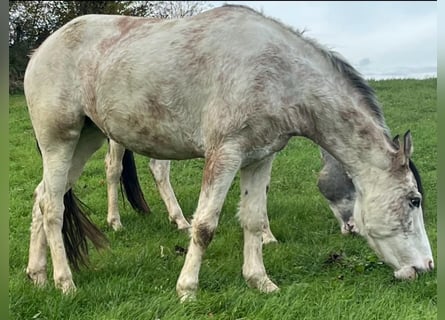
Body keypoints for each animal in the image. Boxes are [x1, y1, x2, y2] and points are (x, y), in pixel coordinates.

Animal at [23, 4, 430, 300]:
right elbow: (204, 225)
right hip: (60, 141)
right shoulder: (225, 154)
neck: (276, 73)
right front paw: (187, 290)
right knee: (53, 207)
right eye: (414, 200)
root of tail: (41, 49)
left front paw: (261, 282)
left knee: (42, 198)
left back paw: (38, 276)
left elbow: (252, 219)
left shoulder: (260, 158)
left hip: (85, 140)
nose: (426, 267)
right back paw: (65, 283)